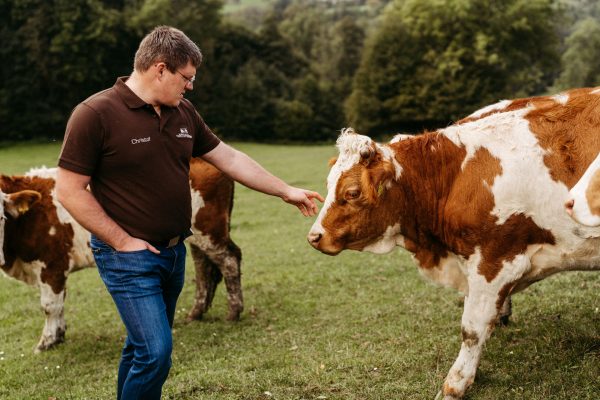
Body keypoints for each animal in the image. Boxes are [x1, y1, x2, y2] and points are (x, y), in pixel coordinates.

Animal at [2, 158, 243, 352]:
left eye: (2, 217)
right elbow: (59, 304)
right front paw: (58, 335)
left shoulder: (52, 265)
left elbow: (50, 305)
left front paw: (47, 341)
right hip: (198, 236)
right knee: (204, 268)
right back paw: (196, 313)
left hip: (210, 230)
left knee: (230, 260)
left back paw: (233, 312)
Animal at [308, 86, 600, 396]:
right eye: (328, 185)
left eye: (352, 192)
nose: (315, 236)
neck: (455, 175)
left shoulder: (497, 260)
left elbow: (471, 329)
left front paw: (455, 384)